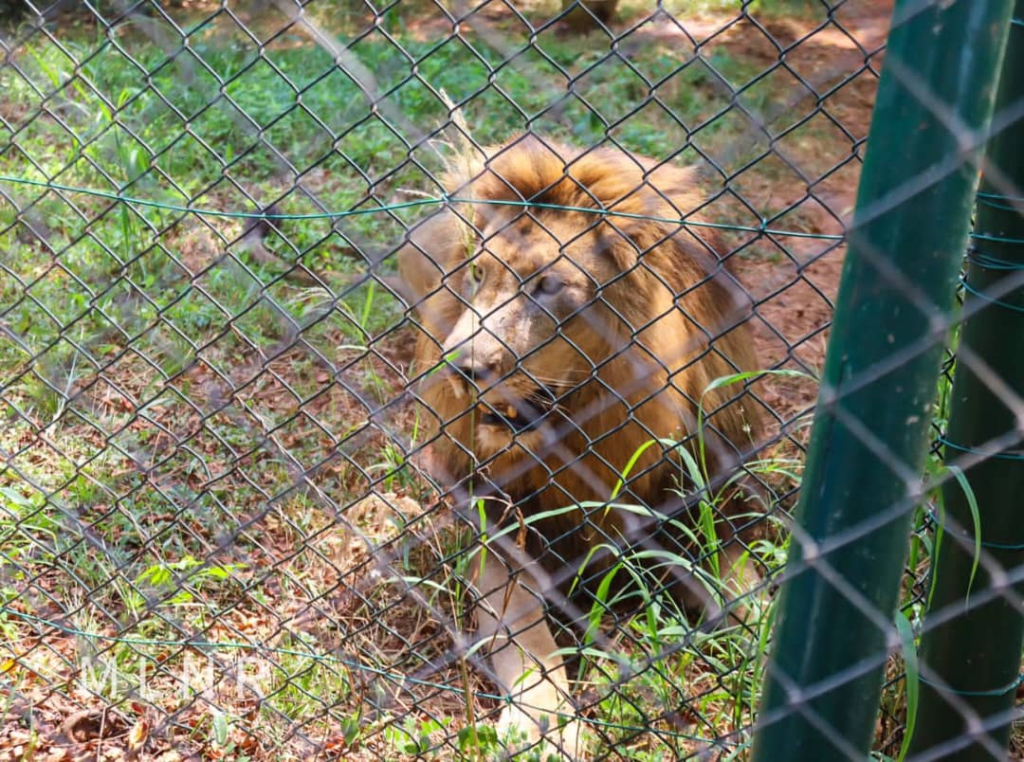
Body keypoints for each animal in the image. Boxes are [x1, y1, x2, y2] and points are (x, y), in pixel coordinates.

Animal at [395, 137, 765, 757]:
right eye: (479, 273)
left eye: (547, 285)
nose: (460, 367)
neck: (588, 436)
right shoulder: (498, 533)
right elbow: (526, 633)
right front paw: (545, 721)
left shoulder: (706, 507)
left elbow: (755, 593)